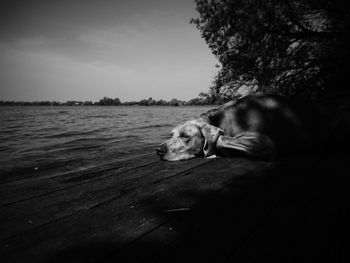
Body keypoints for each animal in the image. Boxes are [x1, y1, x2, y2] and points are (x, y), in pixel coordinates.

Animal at [157, 95, 334, 161]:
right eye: (171, 135)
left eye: (185, 136)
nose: (158, 150)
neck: (220, 120)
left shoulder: (265, 143)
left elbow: (221, 139)